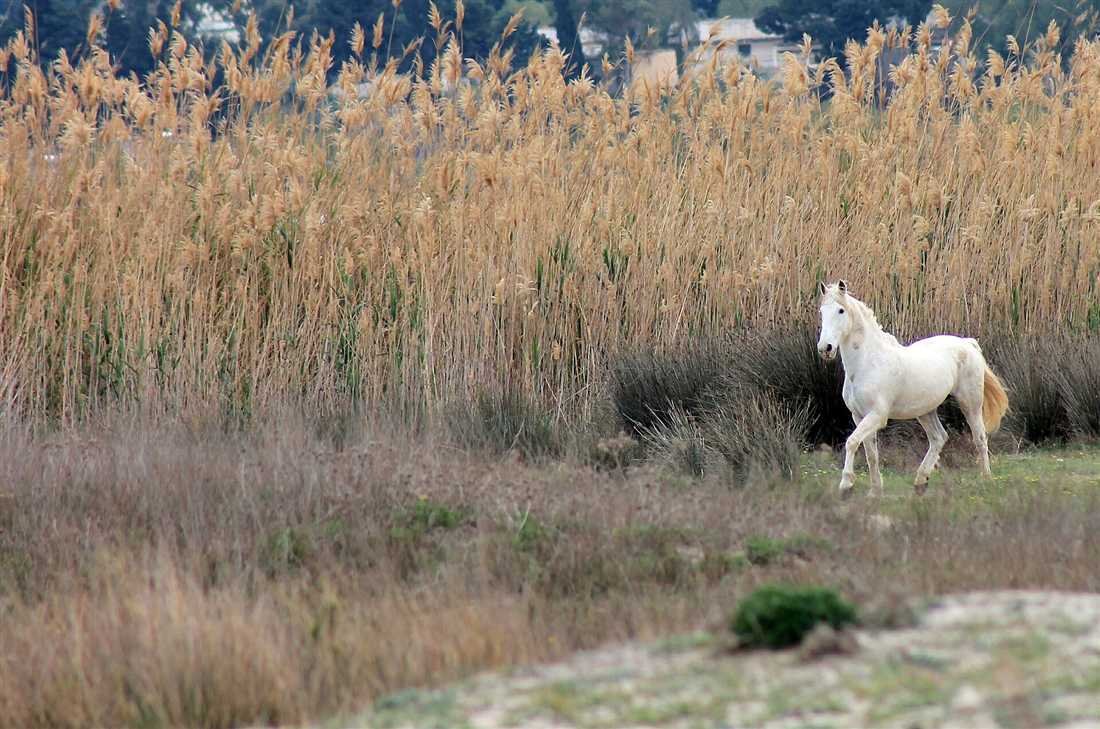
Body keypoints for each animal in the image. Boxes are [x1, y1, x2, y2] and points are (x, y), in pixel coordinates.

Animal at [816, 280, 1009, 495]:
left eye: (841, 310)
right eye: (822, 311)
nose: (825, 348)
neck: (868, 362)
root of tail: (968, 343)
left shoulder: (877, 415)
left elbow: (851, 442)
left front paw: (846, 485)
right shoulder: (859, 416)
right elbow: (870, 453)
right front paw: (875, 491)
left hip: (970, 404)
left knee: (980, 438)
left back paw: (986, 480)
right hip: (926, 411)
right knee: (939, 437)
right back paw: (921, 481)